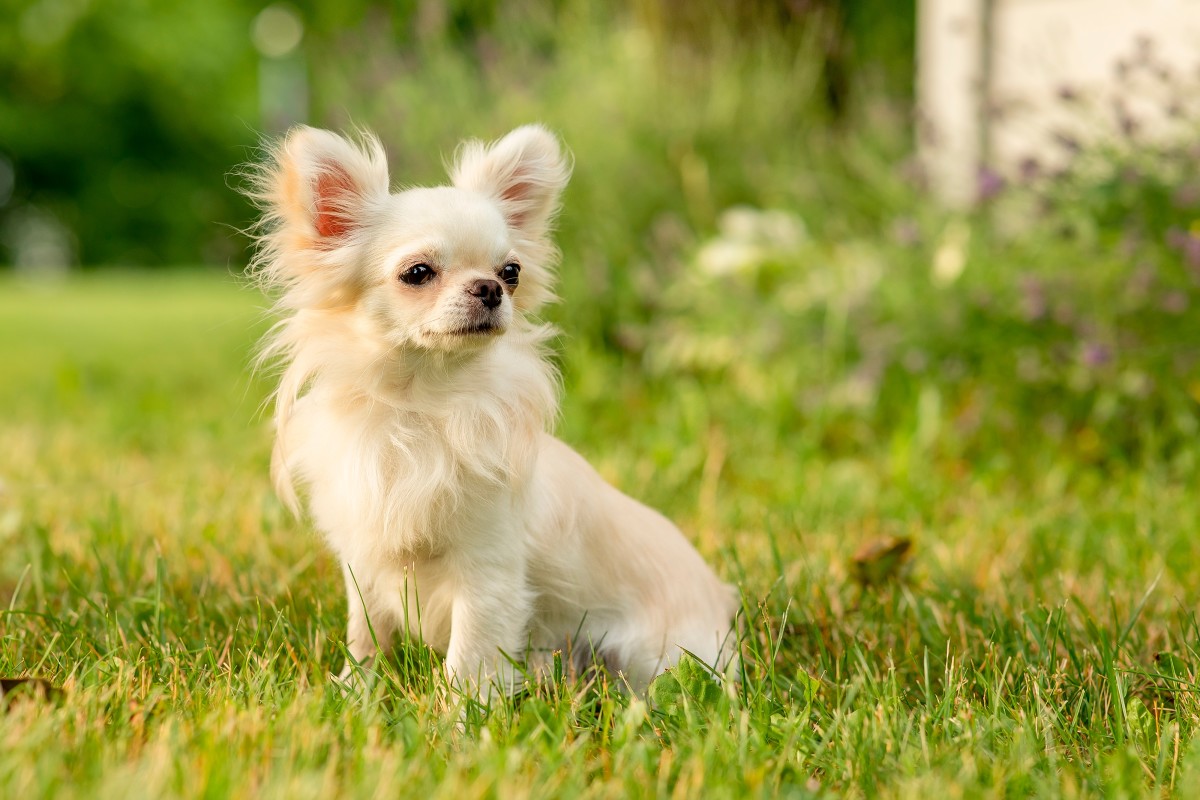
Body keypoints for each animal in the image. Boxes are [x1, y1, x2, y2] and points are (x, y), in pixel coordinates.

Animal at [247, 122, 734, 695]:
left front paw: (458, 715)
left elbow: (469, 660)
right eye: (417, 272)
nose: (491, 287)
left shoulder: (488, 576)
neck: (420, 408)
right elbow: (366, 634)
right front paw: (354, 689)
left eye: (512, 271)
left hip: (648, 654)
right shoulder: (365, 563)